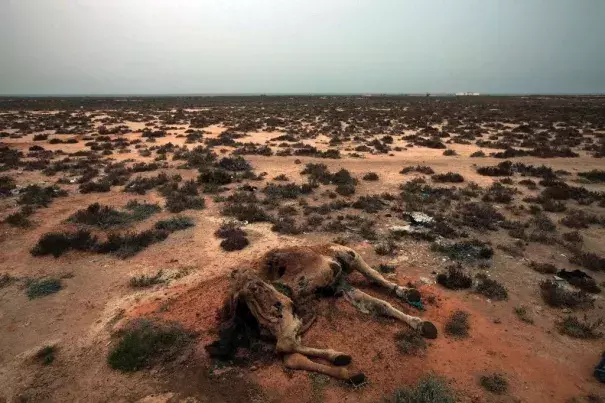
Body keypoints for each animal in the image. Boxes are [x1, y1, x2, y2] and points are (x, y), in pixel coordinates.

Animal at [205, 243, 436, 386]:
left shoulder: (340, 281)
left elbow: (380, 302)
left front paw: (420, 322)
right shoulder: (340, 269)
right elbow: (375, 285)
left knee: (289, 354)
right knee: (287, 348)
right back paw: (343, 362)